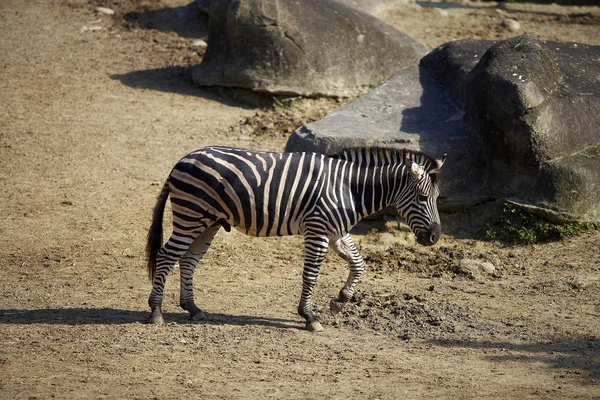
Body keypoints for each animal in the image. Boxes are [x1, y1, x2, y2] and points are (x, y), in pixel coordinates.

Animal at [145, 146, 446, 332]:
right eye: (422, 197)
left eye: (437, 198)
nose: (435, 237)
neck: (350, 188)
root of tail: (182, 160)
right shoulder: (318, 230)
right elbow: (311, 275)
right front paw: (309, 316)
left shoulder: (336, 232)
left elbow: (359, 264)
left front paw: (340, 300)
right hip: (191, 215)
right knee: (166, 255)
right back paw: (157, 311)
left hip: (208, 222)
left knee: (188, 259)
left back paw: (192, 308)